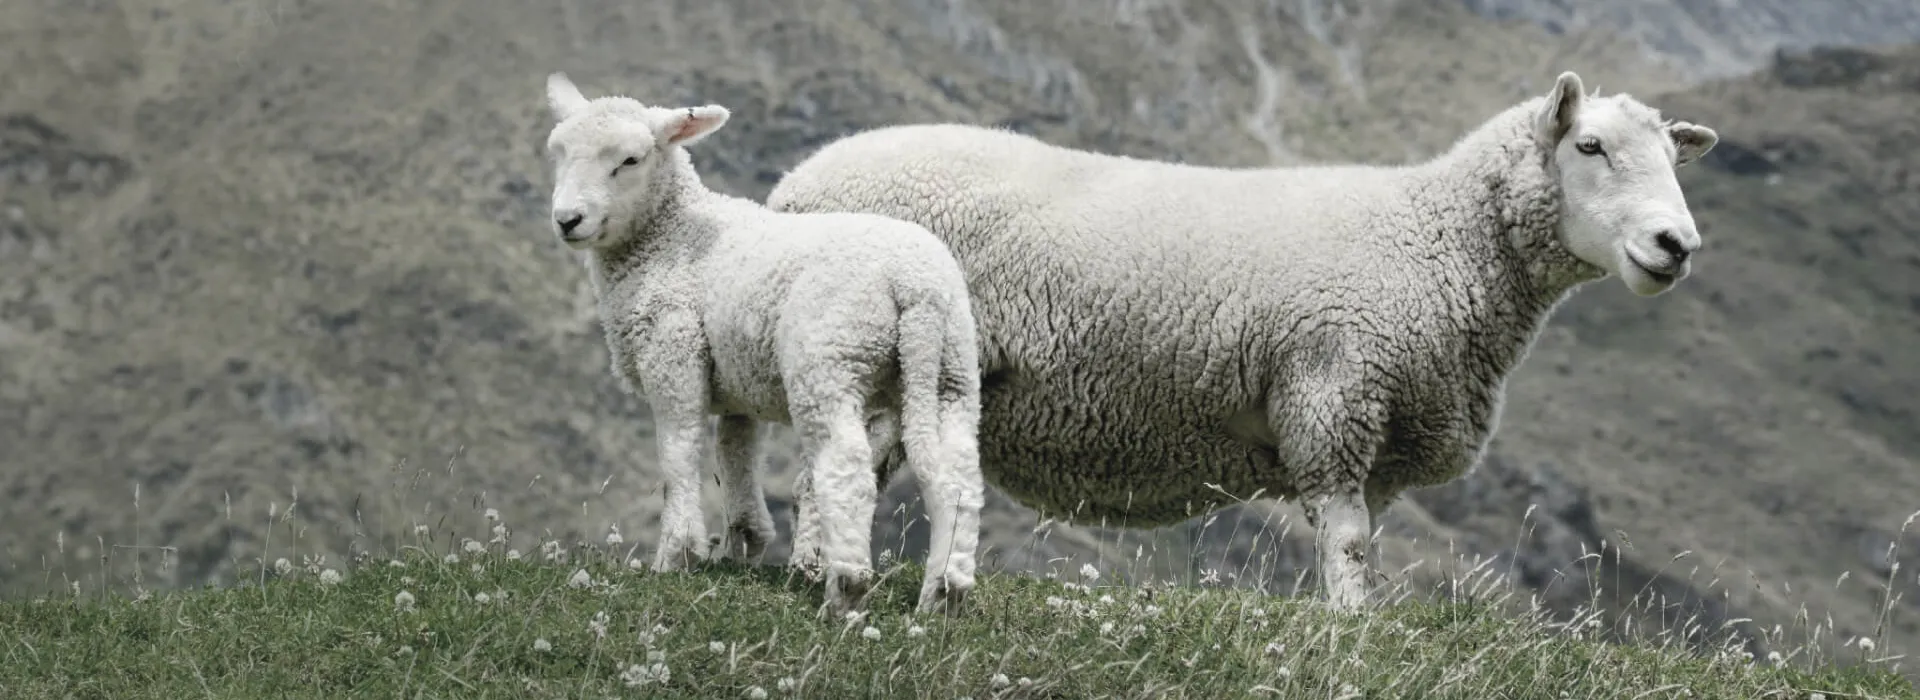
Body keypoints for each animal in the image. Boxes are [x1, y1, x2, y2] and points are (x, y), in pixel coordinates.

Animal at [539, 72, 986, 616]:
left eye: (629, 160)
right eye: (558, 152)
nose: (568, 219)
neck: (668, 236)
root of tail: (915, 286)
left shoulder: (673, 349)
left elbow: (678, 451)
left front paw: (676, 554)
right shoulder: (737, 380)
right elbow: (737, 453)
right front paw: (744, 542)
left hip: (830, 359)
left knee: (847, 468)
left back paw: (846, 590)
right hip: (950, 370)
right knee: (959, 475)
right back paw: (944, 593)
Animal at [766, 71, 1718, 610]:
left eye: (1676, 160)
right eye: (1589, 145)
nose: (1677, 245)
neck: (1436, 240)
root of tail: (794, 186)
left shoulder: (1382, 440)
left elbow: (1365, 544)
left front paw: (1356, 621)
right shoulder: (1333, 396)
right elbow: (1346, 541)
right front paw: (1348, 630)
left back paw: (819, 573)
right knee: (839, 469)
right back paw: (826, 577)